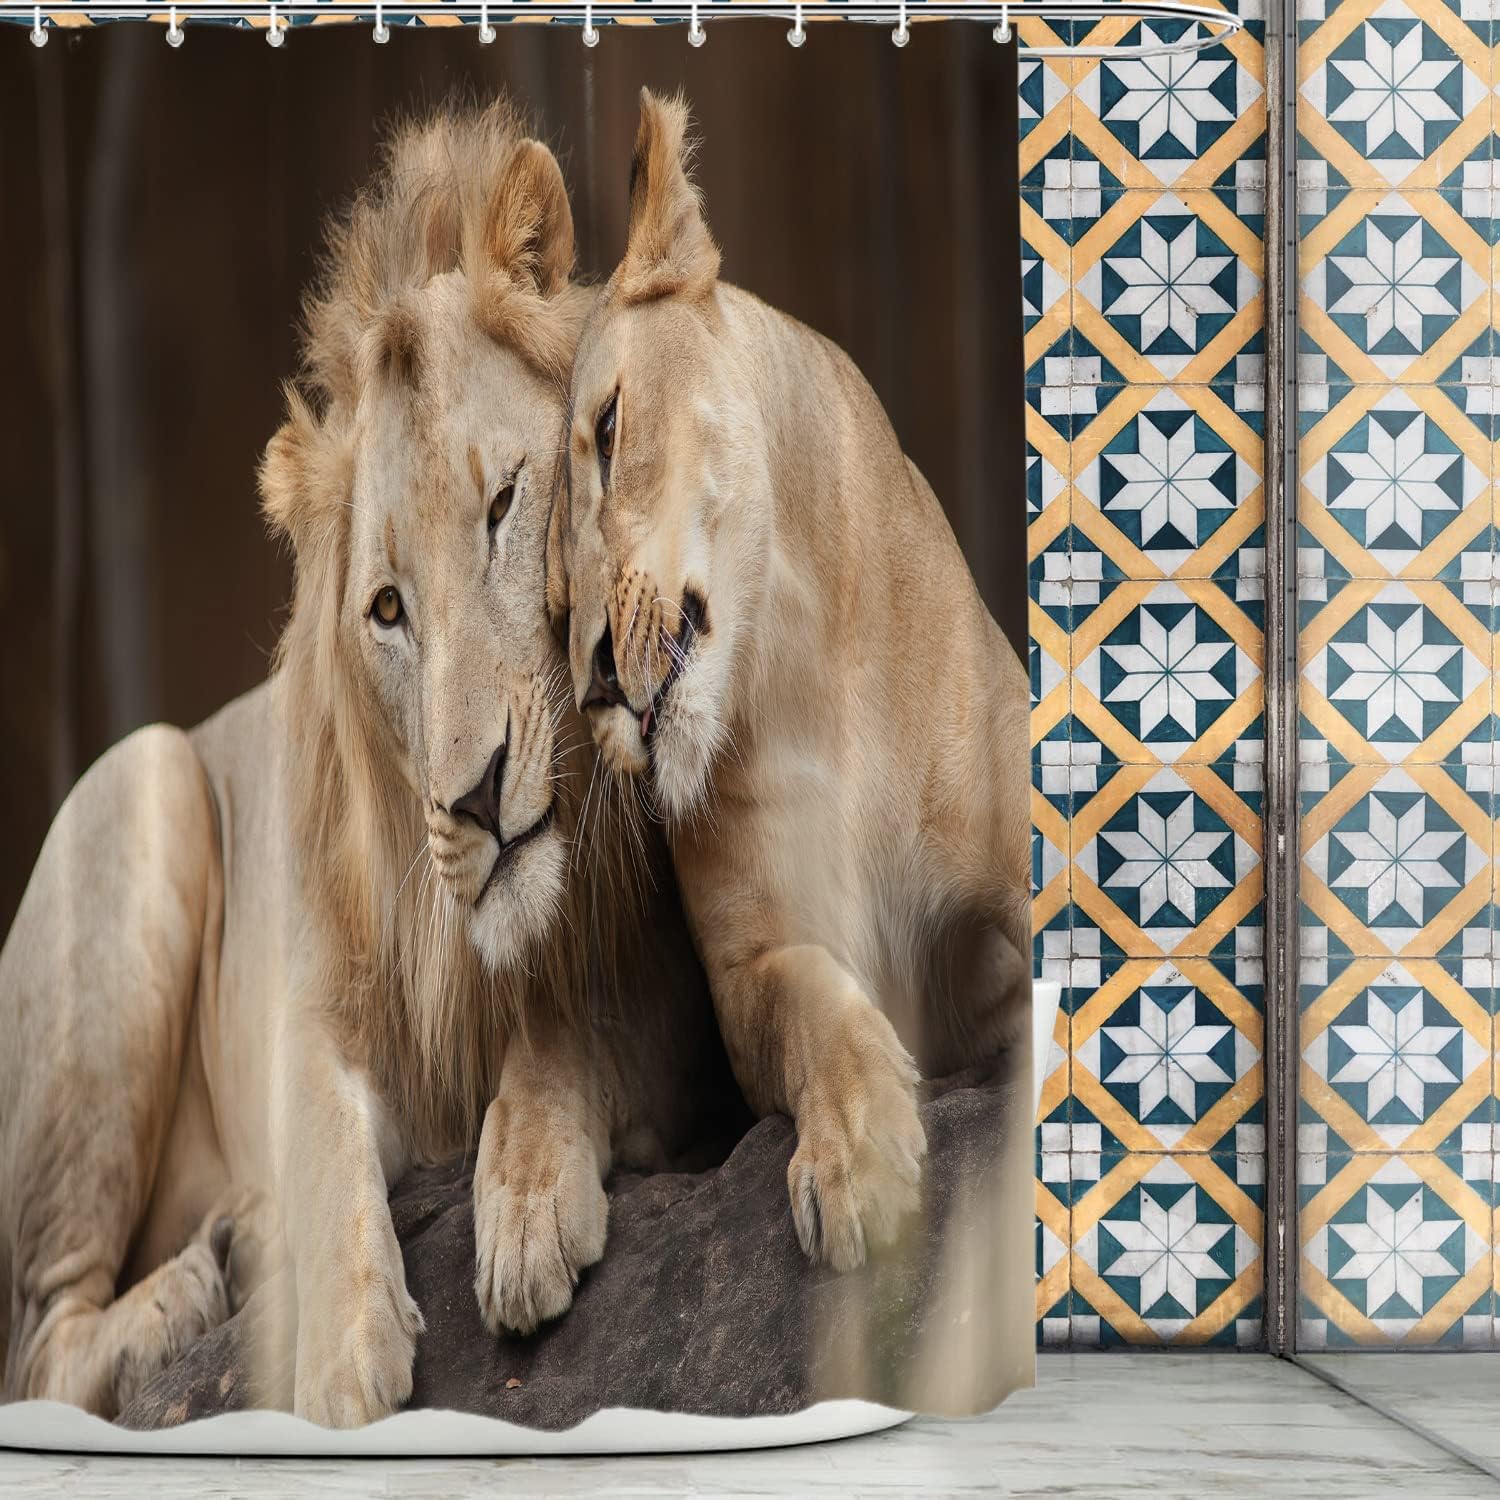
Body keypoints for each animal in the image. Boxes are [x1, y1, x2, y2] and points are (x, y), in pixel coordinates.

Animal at [0, 101, 722, 1427]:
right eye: (387, 609)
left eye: (506, 503)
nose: (476, 796)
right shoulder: (317, 1008)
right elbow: (326, 1148)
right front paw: (343, 1361)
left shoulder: (682, 1004)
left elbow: (572, 1028)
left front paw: (529, 1203)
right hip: (139, 786)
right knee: (37, 1341)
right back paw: (197, 1282)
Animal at [549, 90, 1033, 1275]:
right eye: (546, 600)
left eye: (610, 431)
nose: (592, 681)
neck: (800, 664)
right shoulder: (753, 963)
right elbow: (816, 1010)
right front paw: (857, 1158)